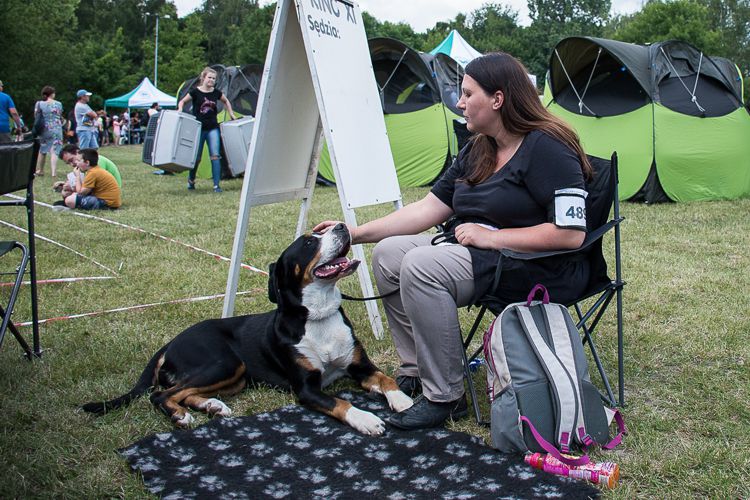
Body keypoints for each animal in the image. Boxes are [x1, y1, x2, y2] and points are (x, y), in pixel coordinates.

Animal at [83, 225, 414, 436]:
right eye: (308, 243)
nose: (343, 226)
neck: (319, 316)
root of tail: (169, 343)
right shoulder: (307, 388)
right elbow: (341, 402)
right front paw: (366, 419)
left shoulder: (359, 365)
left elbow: (385, 378)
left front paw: (402, 401)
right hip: (225, 362)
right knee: (162, 395)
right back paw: (181, 416)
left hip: (236, 377)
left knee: (184, 392)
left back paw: (213, 406)